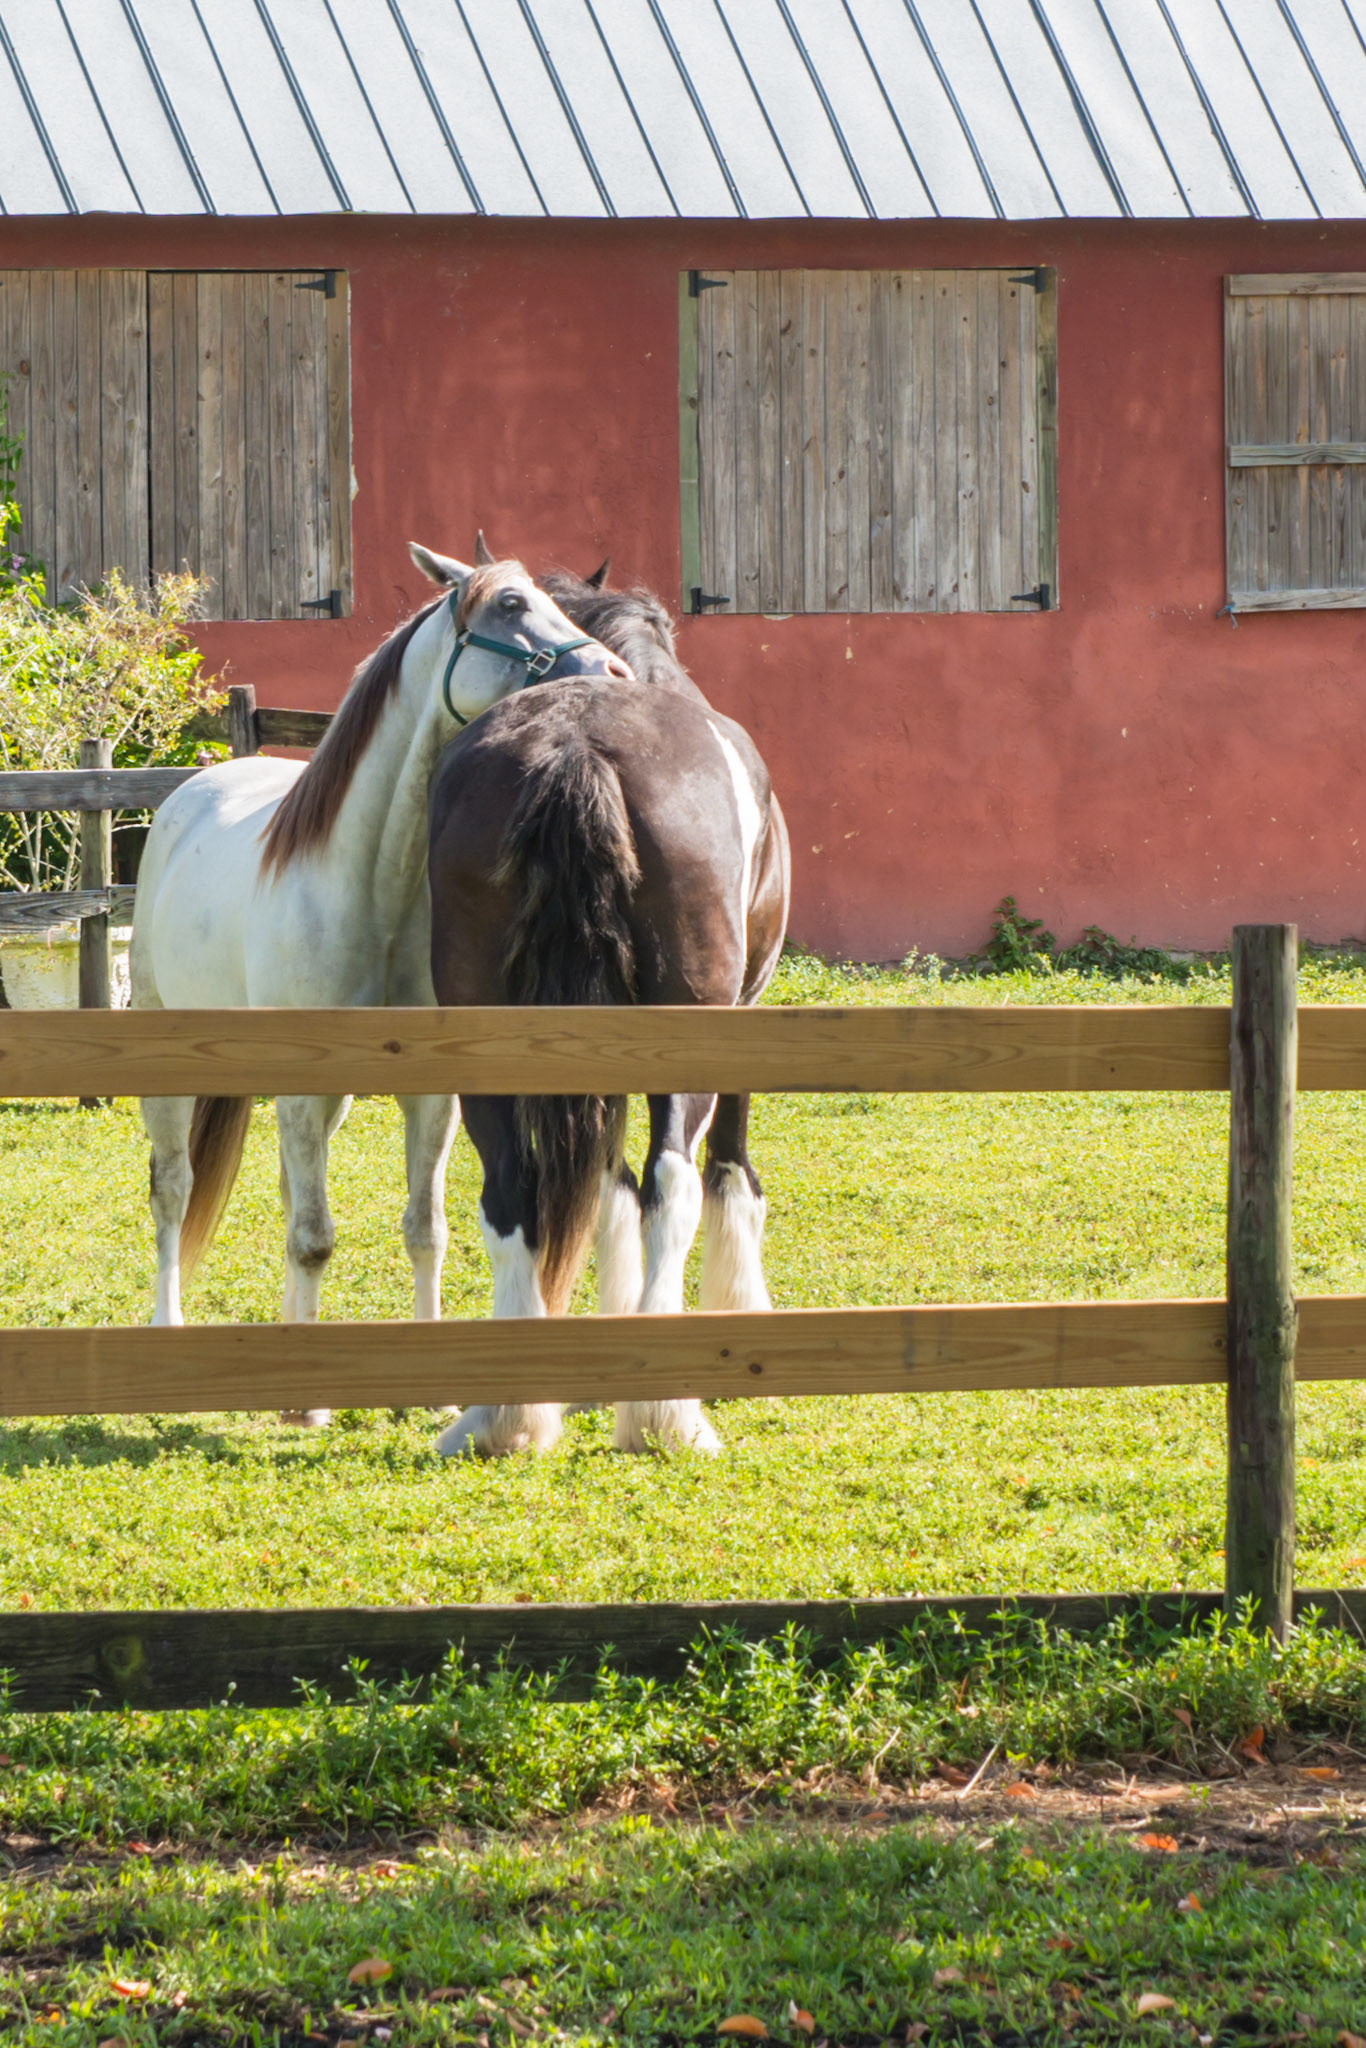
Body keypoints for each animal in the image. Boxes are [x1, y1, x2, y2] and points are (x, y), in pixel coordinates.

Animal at [131, 543, 632, 1424]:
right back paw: (169, 1327)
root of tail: (187, 797)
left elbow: (423, 1228)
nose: (613, 673)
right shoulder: (301, 1092)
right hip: (179, 1074)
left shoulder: (424, 1096)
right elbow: (312, 1236)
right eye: (510, 605)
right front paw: (306, 1403)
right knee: (174, 1190)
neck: (372, 888)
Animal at [426, 563, 791, 1457]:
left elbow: (603, 1186)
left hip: (484, 1045)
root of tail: (575, 746)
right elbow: (729, 1172)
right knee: (675, 1184)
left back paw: (502, 1417)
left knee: (510, 1190)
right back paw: (665, 1414)